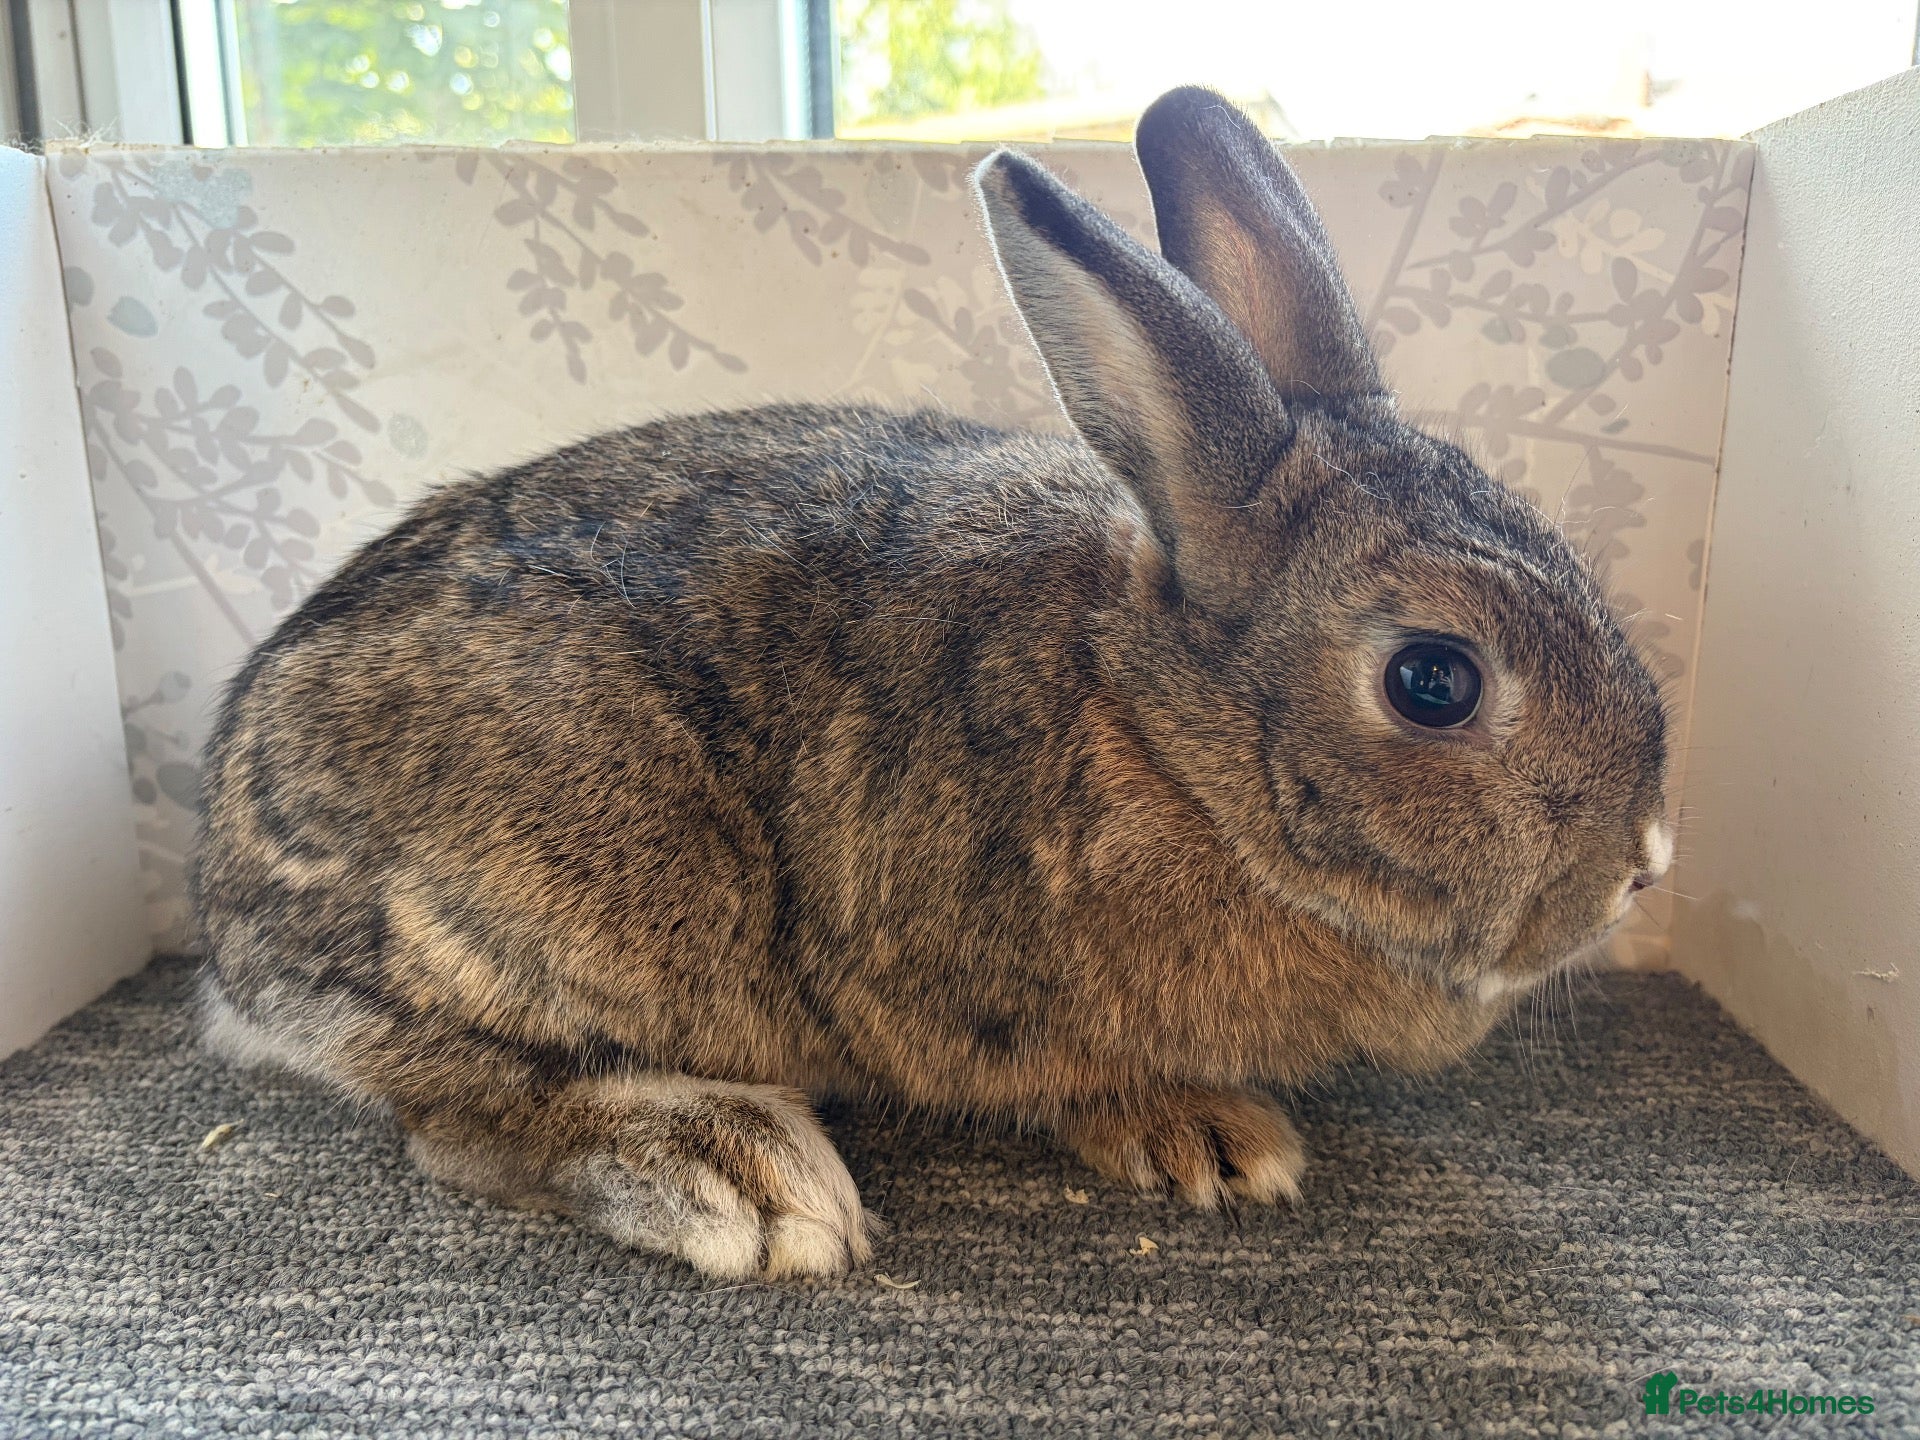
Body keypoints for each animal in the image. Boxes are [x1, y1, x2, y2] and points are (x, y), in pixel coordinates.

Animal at [193, 87, 1673, 1281]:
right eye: (1433, 680)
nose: (1644, 863)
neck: (1162, 741)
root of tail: (226, 920)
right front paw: (1211, 1134)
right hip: (555, 901)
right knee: (458, 1113)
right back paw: (736, 1174)